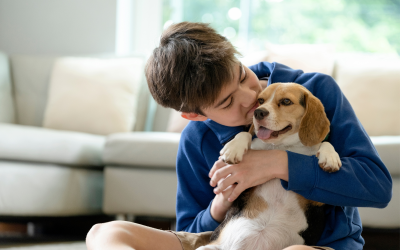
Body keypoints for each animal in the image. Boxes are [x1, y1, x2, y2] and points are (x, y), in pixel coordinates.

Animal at [198, 82, 342, 250]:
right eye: (260, 100)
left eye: (286, 101)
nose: (258, 112)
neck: (283, 146)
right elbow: (245, 134)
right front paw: (233, 147)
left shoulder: (316, 200)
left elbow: (325, 143)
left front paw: (330, 157)